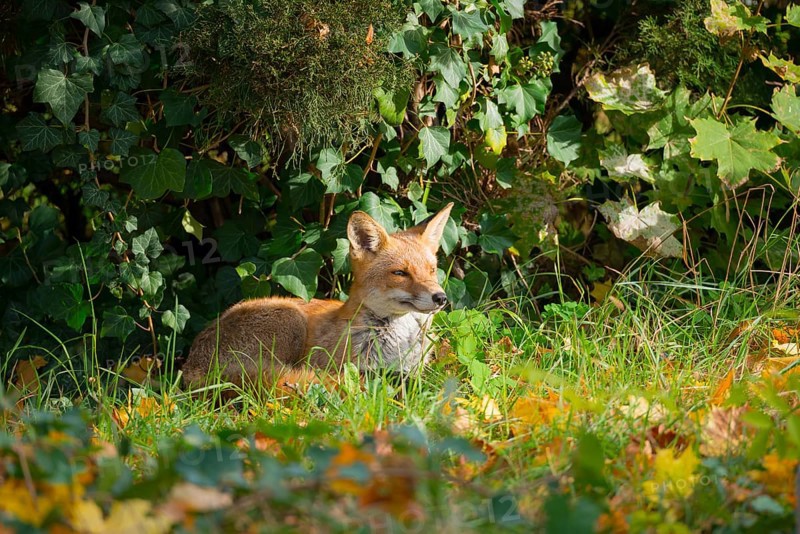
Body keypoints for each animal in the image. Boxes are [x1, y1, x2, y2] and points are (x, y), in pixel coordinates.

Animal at [182, 203, 454, 390]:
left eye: (431, 270)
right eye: (400, 273)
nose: (440, 298)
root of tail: (190, 366)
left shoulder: (414, 370)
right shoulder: (337, 366)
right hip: (291, 323)